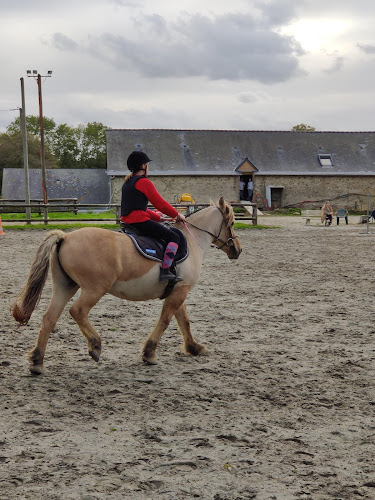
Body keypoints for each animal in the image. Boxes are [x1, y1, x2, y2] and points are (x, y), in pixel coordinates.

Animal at [11, 196, 242, 376]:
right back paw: (95, 345)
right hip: (94, 289)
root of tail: (66, 237)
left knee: (49, 318)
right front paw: (149, 353)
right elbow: (166, 320)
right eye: (231, 223)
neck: (191, 241)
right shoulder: (179, 292)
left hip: (65, 286)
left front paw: (194, 347)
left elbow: (183, 321)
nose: (238, 250)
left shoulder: (178, 290)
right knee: (78, 311)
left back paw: (37, 362)